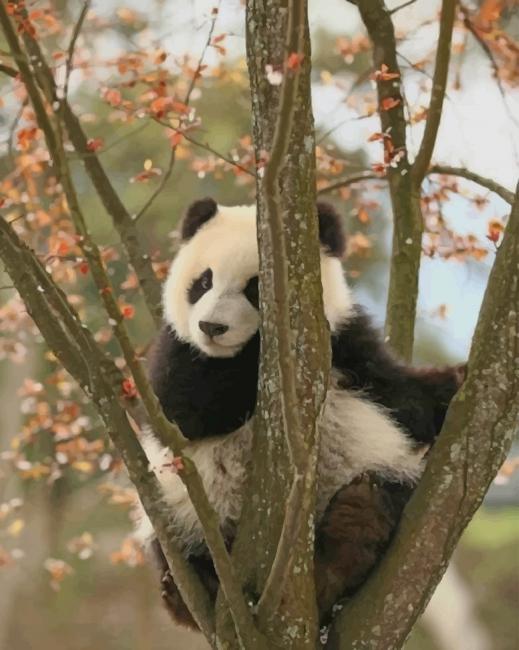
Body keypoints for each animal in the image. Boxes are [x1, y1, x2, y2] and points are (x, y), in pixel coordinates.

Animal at [135, 197, 463, 628]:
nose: (211, 326)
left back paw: (349, 538)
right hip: (184, 509)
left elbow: (405, 399)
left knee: (385, 495)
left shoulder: (350, 346)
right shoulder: (176, 355)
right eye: (203, 282)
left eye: (255, 288)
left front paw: (455, 381)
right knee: (174, 544)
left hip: (381, 474)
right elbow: (183, 412)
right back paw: (187, 592)